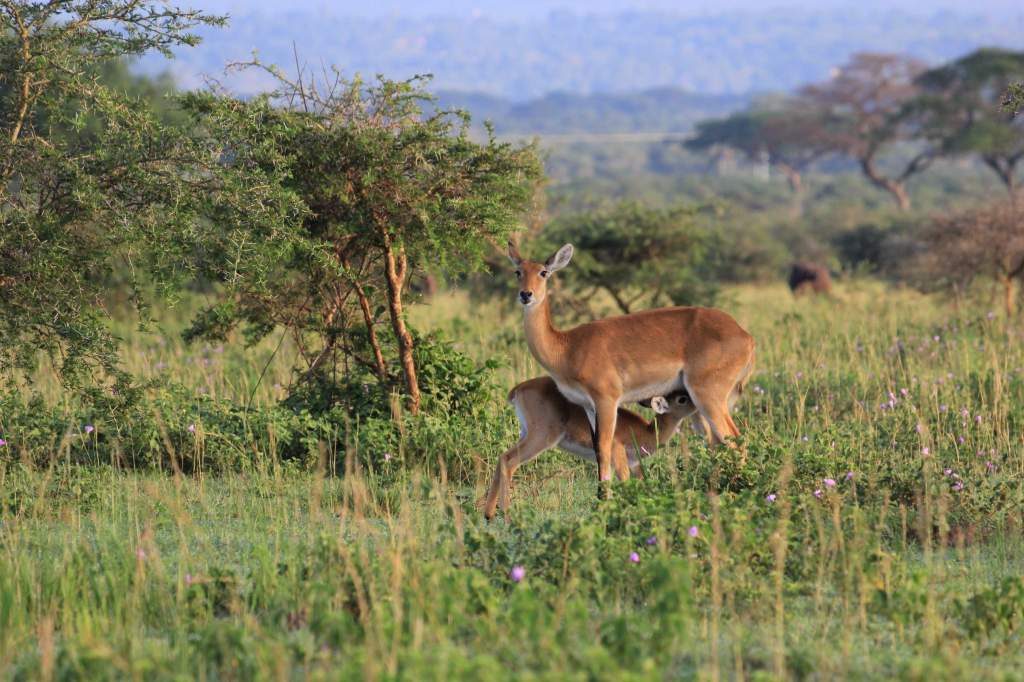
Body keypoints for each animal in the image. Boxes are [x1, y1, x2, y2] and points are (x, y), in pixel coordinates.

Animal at [483, 378, 698, 519]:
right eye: (682, 398)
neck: (647, 431)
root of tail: (518, 389)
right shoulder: (618, 455)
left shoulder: (634, 464)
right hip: (541, 438)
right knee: (509, 462)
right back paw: (507, 514)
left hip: (525, 434)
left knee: (502, 457)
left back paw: (489, 514)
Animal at [506, 240, 755, 495]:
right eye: (518, 271)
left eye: (543, 272)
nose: (526, 294)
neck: (567, 347)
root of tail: (745, 336)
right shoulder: (588, 406)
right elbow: (598, 452)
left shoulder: (607, 401)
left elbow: (605, 448)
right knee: (717, 443)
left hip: (707, 396)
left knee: (735, 440)